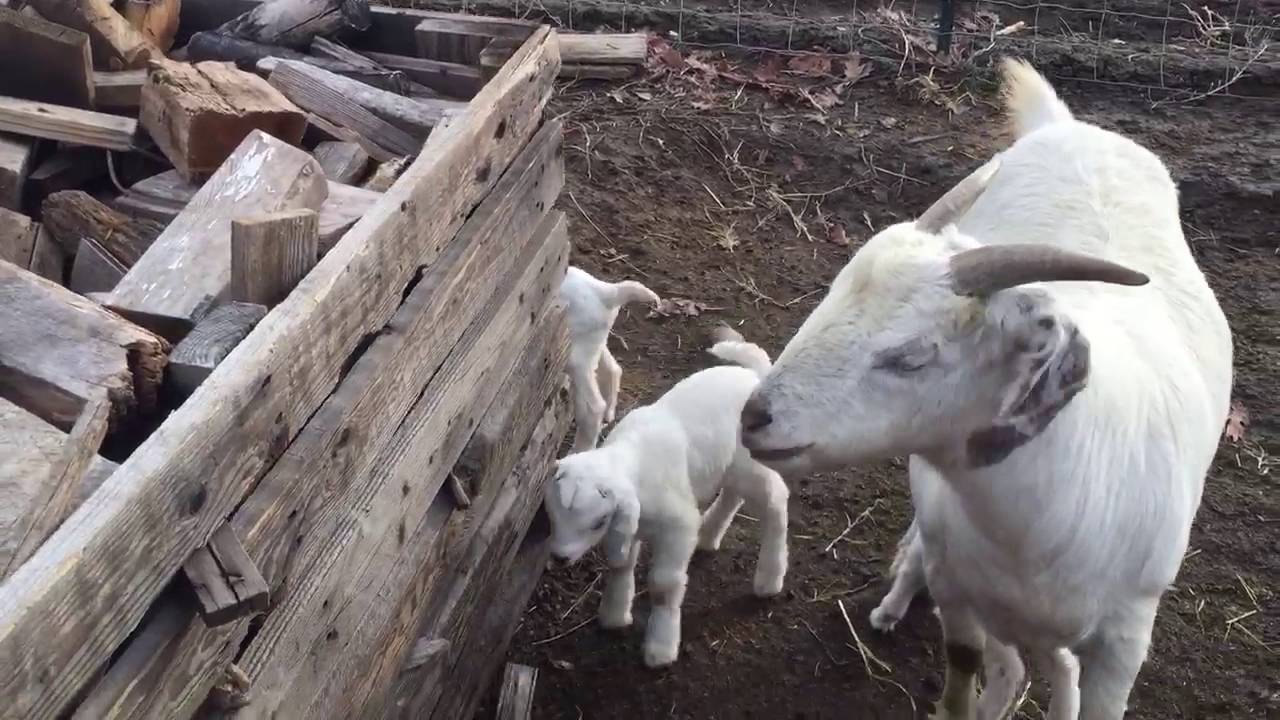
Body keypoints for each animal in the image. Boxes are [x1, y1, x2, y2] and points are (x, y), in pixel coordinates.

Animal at [545, 326, 789, 668]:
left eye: (597, 522)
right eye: (553, 516)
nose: (560, 557)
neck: (631, 459)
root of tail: (754, 375)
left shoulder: (677, 526)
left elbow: (664, 585)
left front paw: (660, 648)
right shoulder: (629, 525)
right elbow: (621, 565)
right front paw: (614, 615)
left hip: (750, 464)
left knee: (776, 499)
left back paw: (769, 578)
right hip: (730, 464)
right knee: (733, 493)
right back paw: (709, 534)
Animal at [559, 265, 660, 452]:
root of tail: (607, 292)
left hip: (575, 359)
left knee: (594, 408)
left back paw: (579, 451)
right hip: (594, 345)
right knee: (613, 370)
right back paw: (608, 415)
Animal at [738, 58, 1232, 720]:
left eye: (912, 356)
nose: (754, 417)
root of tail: (1066, 126)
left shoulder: (1125, 640)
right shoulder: (962, 589)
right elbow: (967, 672)